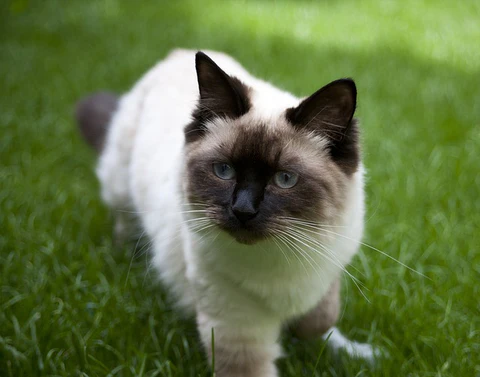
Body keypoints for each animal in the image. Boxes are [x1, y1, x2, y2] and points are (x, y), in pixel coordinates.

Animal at [76, 48, 376, 374]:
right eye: (224, 171)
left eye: (284, 179)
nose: (243, 210)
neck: (280, 259)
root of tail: (177, 53)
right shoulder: (237, 330)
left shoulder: (330, 262)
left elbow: (320, 317)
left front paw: (312, 332)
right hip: (120, 187)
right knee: (123, 224)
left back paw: (360, 353)